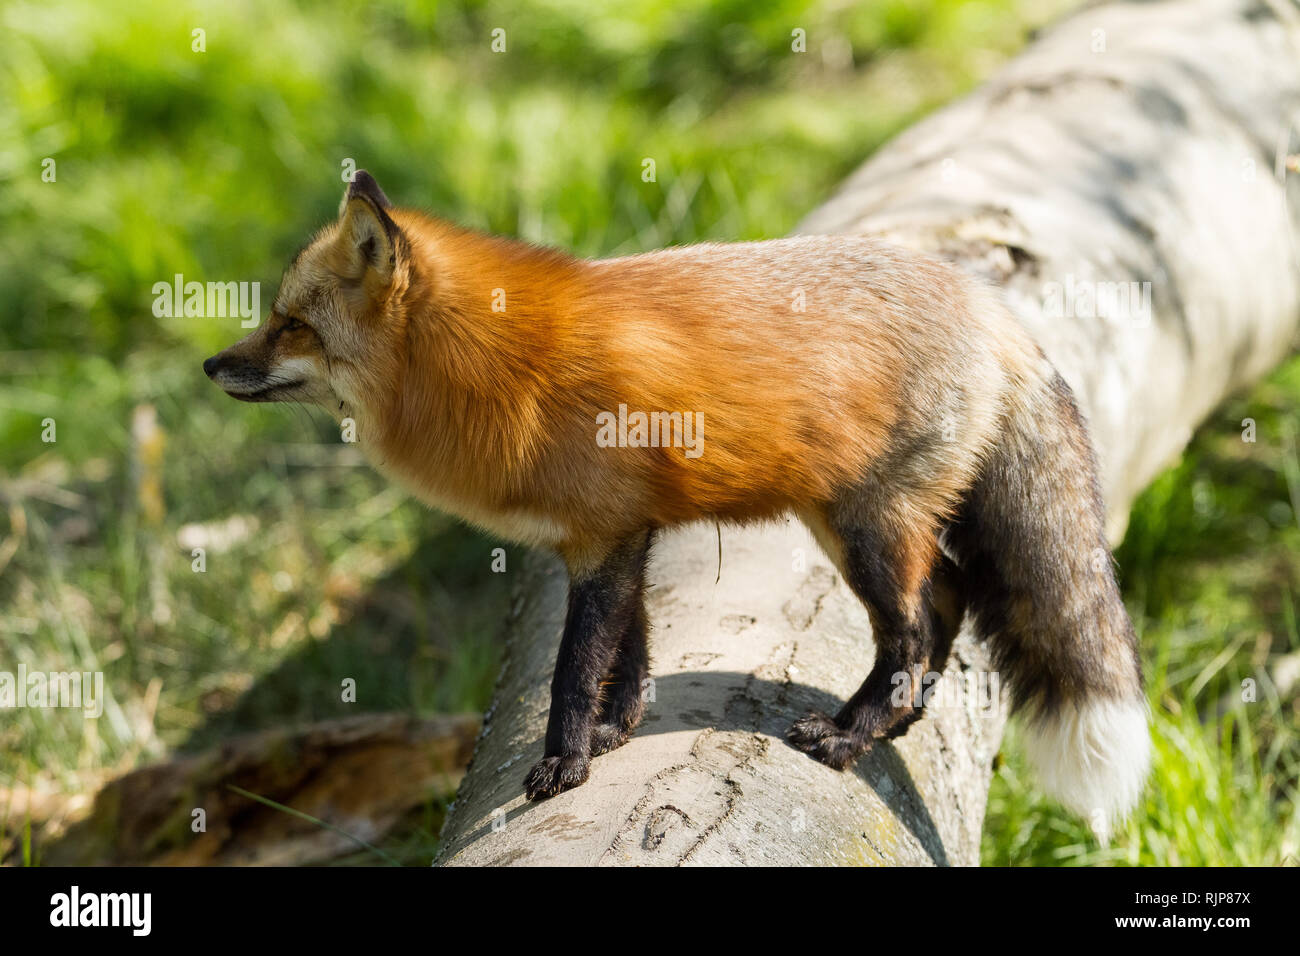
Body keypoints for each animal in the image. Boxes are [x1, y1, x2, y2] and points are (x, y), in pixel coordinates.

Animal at [204, 171, 1151, 832]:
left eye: (292, 326)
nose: (212, 366)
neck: (495, 368)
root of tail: (993, 309)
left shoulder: (603, 541)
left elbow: (573, 671)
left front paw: (565, 767)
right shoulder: (619, 536)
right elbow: (631, 653)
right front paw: (616, 735)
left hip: (864, 529)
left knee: (912, 633)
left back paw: (850, 737)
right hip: (854, 520)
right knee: (943, 605)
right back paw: (896, 722)